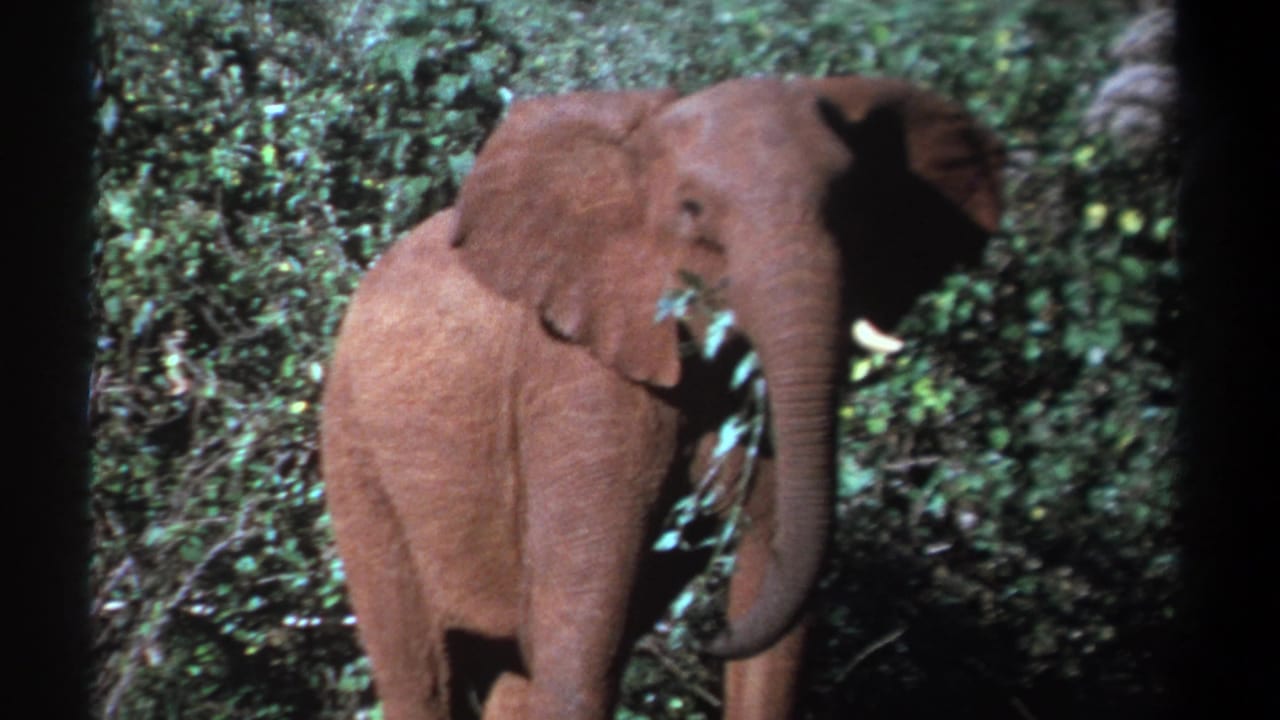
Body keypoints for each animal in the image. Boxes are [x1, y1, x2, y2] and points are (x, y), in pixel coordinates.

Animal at [321, 75, 1003, 720]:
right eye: (693, 209)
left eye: (852, 208)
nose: (710, 640)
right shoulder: (579, 374)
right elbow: (582, 635)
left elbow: (775, 596)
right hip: (354, 449)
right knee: (422, 669)